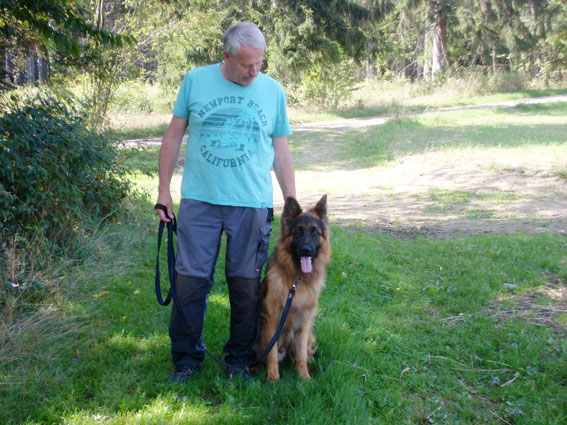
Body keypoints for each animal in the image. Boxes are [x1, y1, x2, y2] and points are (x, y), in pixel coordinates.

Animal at [259, 195, 331, 380]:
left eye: (315, 232)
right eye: (298, 231)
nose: (306, 250)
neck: (297, 279)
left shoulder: (305, 320)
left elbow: (302, 353)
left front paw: (303, 376)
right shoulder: (271, 318)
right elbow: (271, 353)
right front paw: (273, 378)